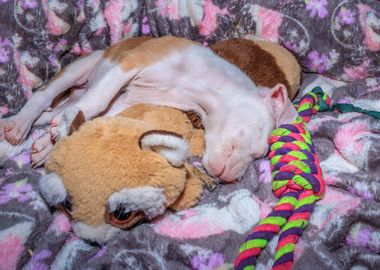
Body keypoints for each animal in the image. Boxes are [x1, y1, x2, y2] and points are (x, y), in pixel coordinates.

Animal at [0, 35, 296, 182]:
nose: (231, 178)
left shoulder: (124, 101)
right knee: (43, 97)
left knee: (51, 112)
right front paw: (61, 129)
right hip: (83, 67)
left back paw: (36, 139)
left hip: (79, 92)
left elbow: (95, 116)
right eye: (258, 150)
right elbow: (98, 101)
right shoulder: (131, 63)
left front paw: (51, 143)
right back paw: (19, 125)